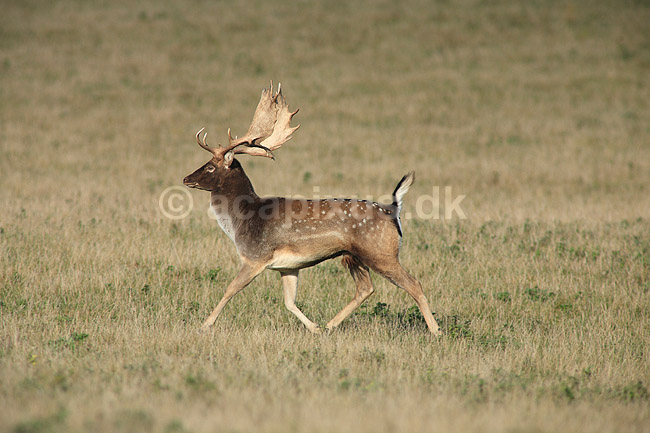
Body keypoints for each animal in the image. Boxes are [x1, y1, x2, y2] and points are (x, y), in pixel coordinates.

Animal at [183, 82, 442, 335]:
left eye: (210, 167)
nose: (186, 178)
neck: (243, 221)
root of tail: (394, 210)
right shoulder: (287, 267)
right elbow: (289, 301)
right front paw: (314, 327)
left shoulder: (255, 257)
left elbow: (229, 290)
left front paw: (204, 325)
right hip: (354, 255)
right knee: (365, 288)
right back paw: (329, 325)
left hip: (381, 252)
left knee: (413, 284)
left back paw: (436, 331)